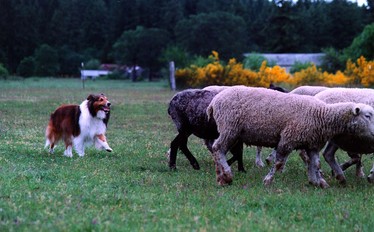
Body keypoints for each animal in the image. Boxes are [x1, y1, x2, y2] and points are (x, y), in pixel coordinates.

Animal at [206, 86, 374, 188]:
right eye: (367, 115)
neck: (321, 115)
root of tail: (214, 102)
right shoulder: (288, 138)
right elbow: (279, 162)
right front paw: (268, 180)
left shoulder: (312, 144)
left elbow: (316, 163)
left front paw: (316, 182)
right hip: (229, 127)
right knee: (217, 148)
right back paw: (227, 175)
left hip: (231, 131)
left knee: (217, 149)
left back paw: (220, 176)